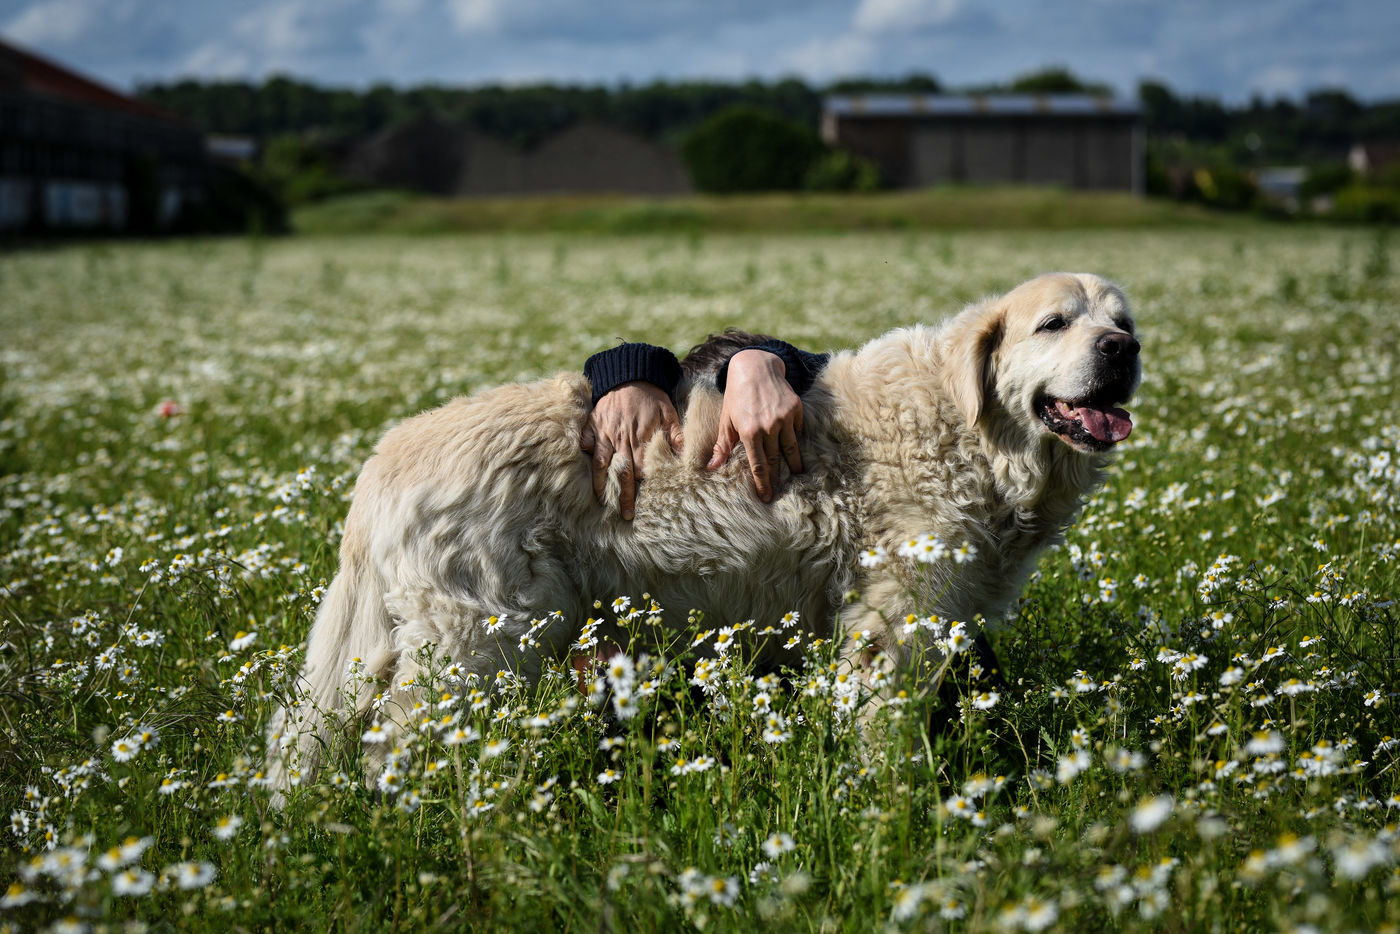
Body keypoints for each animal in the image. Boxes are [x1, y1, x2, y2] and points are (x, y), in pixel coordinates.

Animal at [266, 272, 1140, 790]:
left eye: (1120, 320)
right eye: (1053, 324)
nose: (1122, 349)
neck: (970, 429)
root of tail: (385, 455)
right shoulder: (894, 622)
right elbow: (884, 740)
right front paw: (895, 813)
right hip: (480, 644)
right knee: (391, 747)